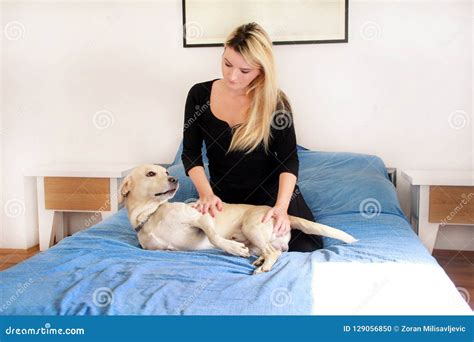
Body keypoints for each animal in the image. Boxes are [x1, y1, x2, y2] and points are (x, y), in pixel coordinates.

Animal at [118, 164, 356, 274]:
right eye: (150, 174)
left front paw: (233, 249)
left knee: (273, 253)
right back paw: (260, 260)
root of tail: (281, 213)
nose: (174, 179)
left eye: (165, 171)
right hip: (257, 241)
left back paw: (262, 265)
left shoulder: (201, 218)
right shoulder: (158, 248)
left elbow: (214, 237)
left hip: (252, 228)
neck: (150, 215)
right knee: (275, 251)